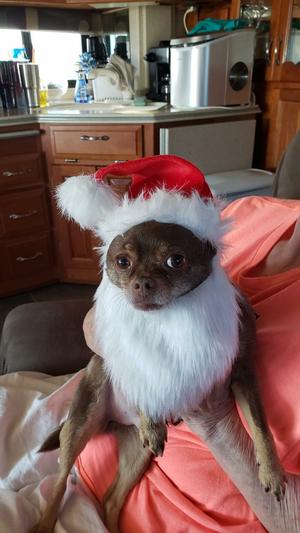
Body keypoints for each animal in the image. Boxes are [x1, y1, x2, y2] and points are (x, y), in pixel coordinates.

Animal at [33, 161, 286, 532]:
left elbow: (261, 425)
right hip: (79, 426)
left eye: (175, 261)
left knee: (110, 499)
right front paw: (152, 417)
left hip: (136, 453)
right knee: (60, 482)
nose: (141, 282)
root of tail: (114, 421)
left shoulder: (243, 374)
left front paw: (272, 471)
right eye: (122, 262)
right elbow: (148, 370)